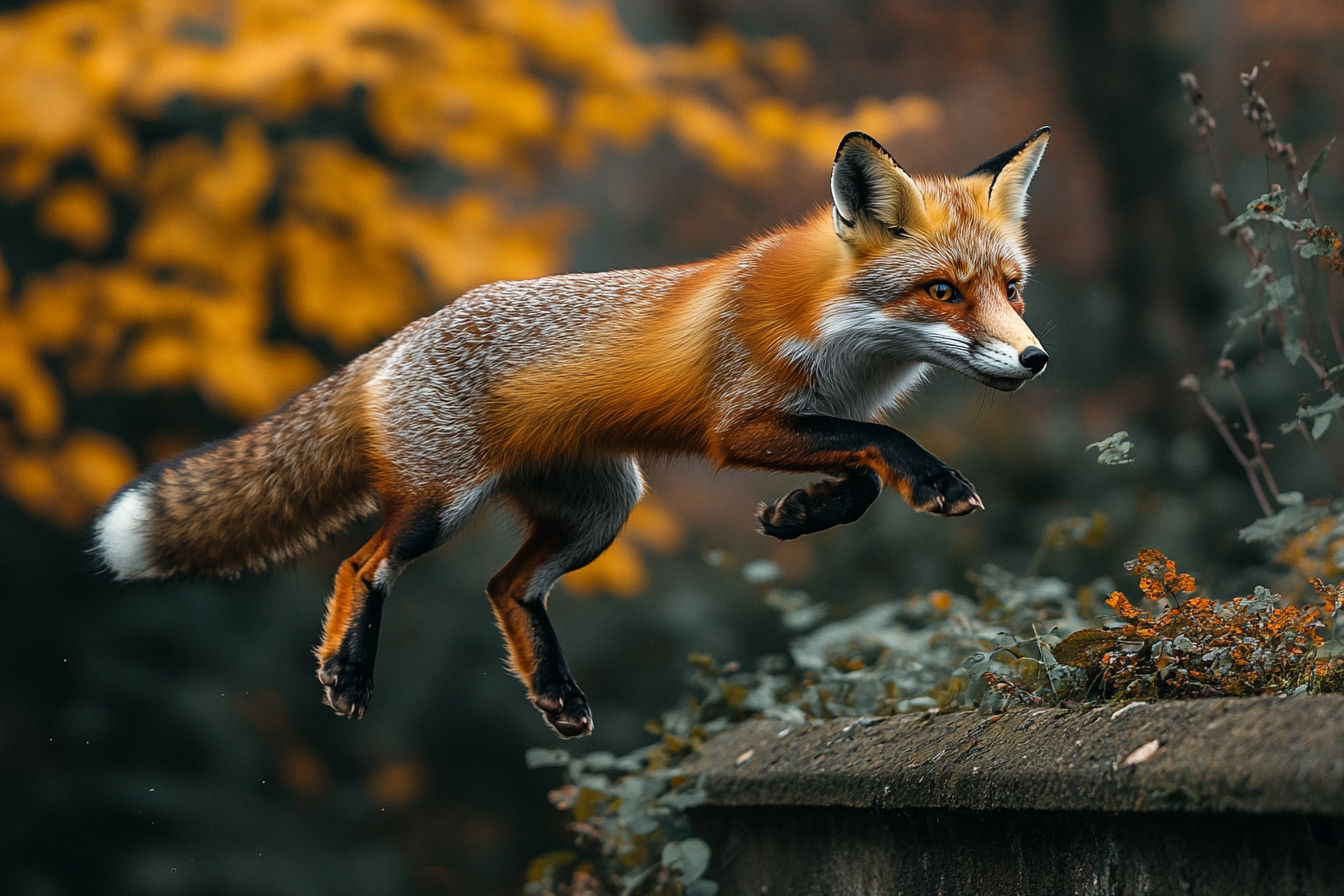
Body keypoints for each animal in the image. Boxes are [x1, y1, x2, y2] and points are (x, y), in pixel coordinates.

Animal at [93, 127, 1051, 738]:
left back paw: (554, 691)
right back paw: (349, 673)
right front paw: (929, 481)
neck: (842, 335)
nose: (1035, 358)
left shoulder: (800, 422)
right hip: (440, 504)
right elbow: (882, 451)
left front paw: (799, 515)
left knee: (506, 586)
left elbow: (857, 473)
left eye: (1011, 287)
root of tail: (395, 342)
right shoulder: (738, 422)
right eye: (941, 292)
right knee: (363, 566)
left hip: (602, 510)